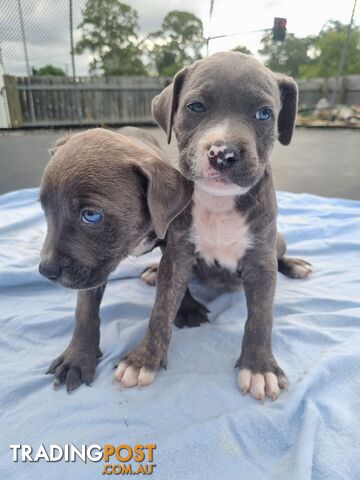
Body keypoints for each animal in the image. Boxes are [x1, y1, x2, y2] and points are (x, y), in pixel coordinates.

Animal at [38, 126, 194, 390]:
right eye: (44, 209)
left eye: (91, 215)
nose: (45, 271)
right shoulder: (91, 271)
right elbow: (85, 311)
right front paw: (77, 357)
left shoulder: (177, 246)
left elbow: (165, 305)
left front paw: (143, 360)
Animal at [140, 51, 312, 402]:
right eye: (195, 107)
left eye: (264, 114)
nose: (223, 153)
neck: (219, 201)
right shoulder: (177, 252)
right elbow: (162, 306)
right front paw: (144, 359)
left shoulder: (261, 262)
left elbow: (261, 316)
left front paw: (259, 368)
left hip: (278, 240)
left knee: (281, 257)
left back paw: (294, 265)